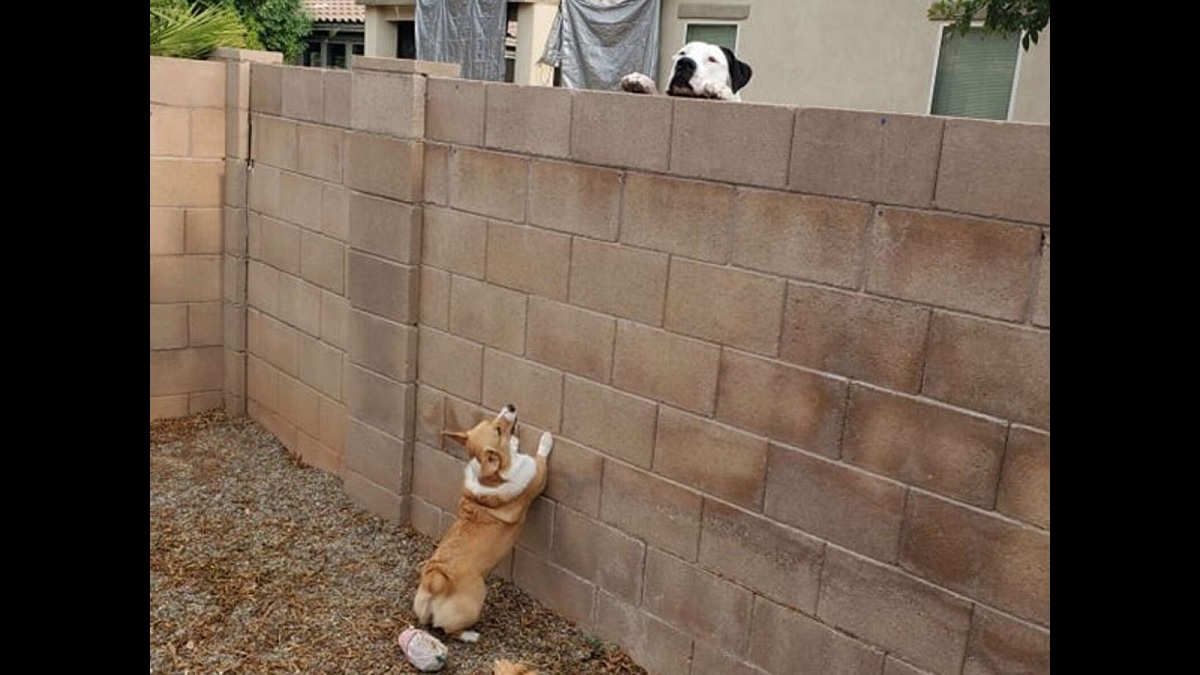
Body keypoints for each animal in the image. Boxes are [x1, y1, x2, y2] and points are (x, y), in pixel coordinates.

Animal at [408, 401, 549, 638]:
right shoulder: (536, 474)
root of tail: (434, 580)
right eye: (498, 430)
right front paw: (547, 439)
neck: (490, 479)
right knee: (449, 630)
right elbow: (541, 458)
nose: (511, 405)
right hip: (477, 596)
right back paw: (471, 635)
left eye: (491, 420)